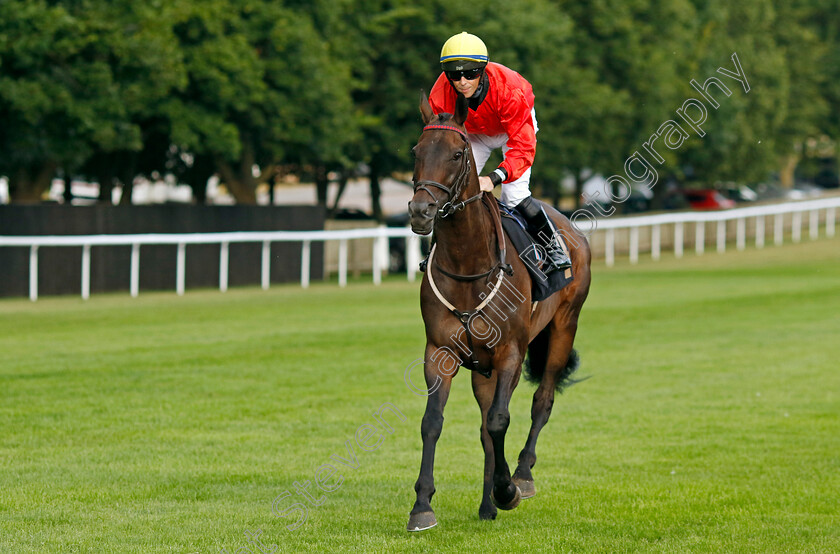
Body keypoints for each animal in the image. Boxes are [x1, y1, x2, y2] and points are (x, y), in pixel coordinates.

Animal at [406, 92, 592, 528]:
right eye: (417, 151)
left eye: (457, 153)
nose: (421, 211)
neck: (468, 264)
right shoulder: (440, 352)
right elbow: (433, 422)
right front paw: (422, 505)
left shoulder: (510, 352)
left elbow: (499, 420)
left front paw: (507, 490)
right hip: (482, 368)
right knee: (485, 427)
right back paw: (487, 504)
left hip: (564, 326)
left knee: (542, 400)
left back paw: (520, 476)